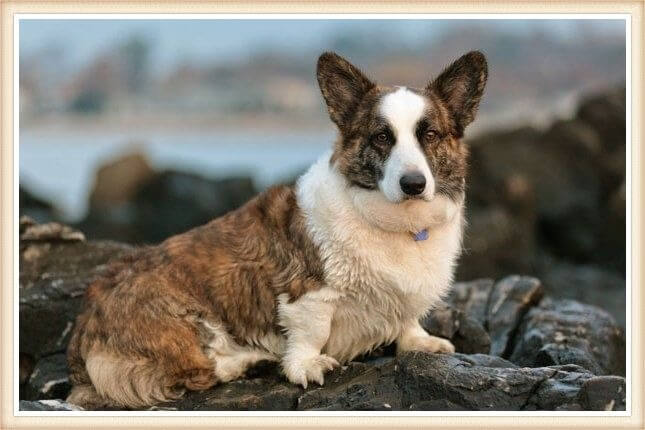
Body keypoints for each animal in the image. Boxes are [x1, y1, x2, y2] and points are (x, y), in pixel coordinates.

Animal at [66, 48, 488, 408]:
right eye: (382, 137)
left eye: (429, 135)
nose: (413, 184)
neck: (396, 223)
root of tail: (83, 332)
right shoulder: (307, 293)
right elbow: (311, 333)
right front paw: (306, 367)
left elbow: (408, 320)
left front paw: (421, 342)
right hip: (186, 320)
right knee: (197, 369)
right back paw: (248, 361)